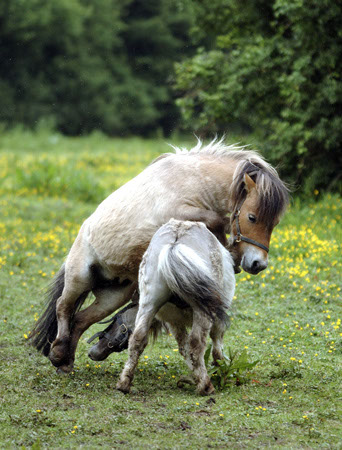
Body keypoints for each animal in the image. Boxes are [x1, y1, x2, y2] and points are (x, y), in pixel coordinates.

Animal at [30, 139, 290, 374]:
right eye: (252, 217)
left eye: (275, 223)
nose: (258, 264)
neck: (193, 181)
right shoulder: (180, 213)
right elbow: (216, 220)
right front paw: (229, 249)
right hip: (80, 277)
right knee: (63, 307)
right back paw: (58, 352)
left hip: (114, 295)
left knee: (81, 319)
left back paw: (65, 362)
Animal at [115, 220, 235, 396]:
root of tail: (175, 241)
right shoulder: (217, 314)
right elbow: (216, 341)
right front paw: (219, 367)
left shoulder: (174, 322)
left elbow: (183, 348)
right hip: (202, 311)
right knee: (196, 343)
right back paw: (206, 386)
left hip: (148, 304)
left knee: (137, 338)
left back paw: (124, 383)